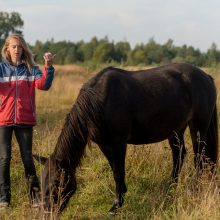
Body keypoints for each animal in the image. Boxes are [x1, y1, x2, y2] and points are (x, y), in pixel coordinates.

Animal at [34, 62, 218, 214]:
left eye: (56, 183)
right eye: (42, 183)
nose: (46, 212)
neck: (99, 101)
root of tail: (206, 76)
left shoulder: (118, 143)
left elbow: (118, 172)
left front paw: (115, 207)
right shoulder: (104, 144)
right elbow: (114, 169)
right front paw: (120, 198)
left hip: (198, 127)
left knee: (199, 158)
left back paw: (193, 189)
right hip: (176, 129)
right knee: (179, 155)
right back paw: (171, 188)